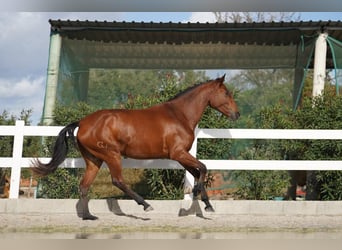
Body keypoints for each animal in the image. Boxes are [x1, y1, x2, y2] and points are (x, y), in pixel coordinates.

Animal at [32, 75, 240, 220]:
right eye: (226, 93)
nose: (237, 114)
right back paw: (146, 205)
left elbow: (198, 172)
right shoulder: (178, 153)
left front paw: (203, 201)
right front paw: (201, 200)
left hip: (94, 160)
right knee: (118, 181)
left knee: (84, 186)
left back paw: (89, 216)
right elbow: (203, 168)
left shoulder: (181, 156)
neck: (179, 115)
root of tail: (82, 123)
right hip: (112, 155)